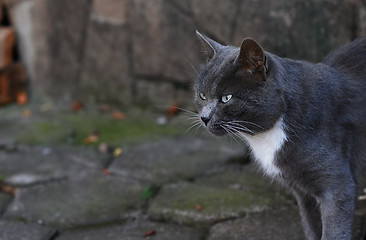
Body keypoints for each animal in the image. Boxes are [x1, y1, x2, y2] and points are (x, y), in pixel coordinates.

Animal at [196, 30, 366, 240]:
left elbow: (334, 231)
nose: (204, 117)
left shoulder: (337, 187)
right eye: (202, 95)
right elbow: (312, 226)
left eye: (226, 98)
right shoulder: (303, 192)